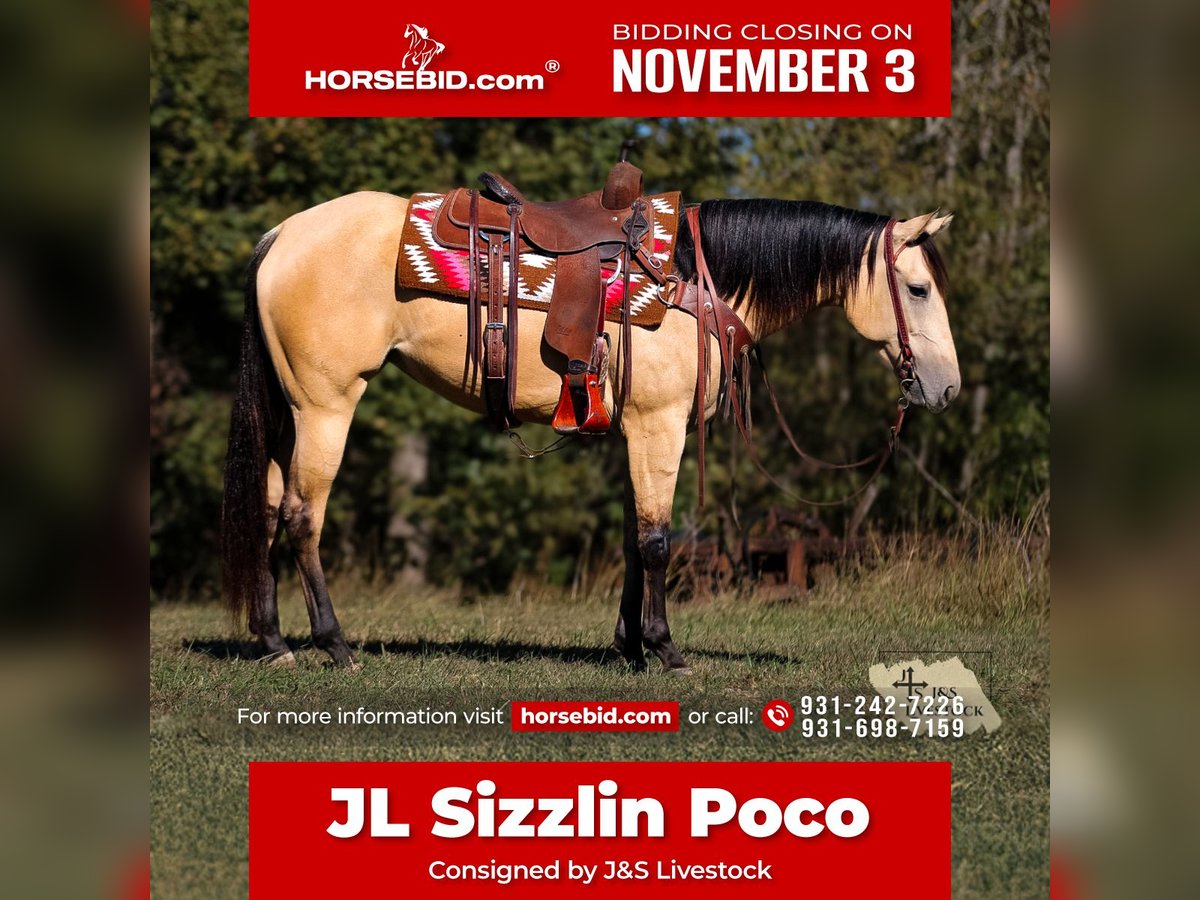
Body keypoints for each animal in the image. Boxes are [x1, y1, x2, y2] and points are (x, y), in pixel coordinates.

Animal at [220, 191, 959, 672]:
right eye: (918, 289)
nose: (947, 388)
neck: (695, 284)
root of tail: (282, 234)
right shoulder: (660, 426)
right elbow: (658, 541)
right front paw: (665, 650)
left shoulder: (636, 432)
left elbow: (634, 540)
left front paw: (629, 645)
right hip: (326, 405)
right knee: (302, 516)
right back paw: (334, 644)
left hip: (291, 411)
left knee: (267, 508)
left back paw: (274, 645)